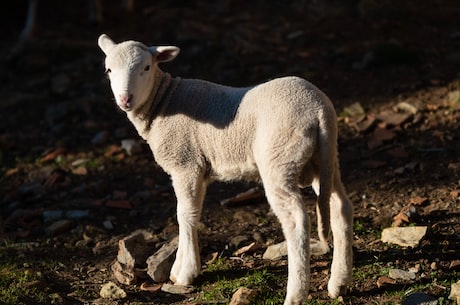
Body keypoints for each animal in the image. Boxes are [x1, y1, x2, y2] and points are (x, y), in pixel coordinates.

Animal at [99, 33, 354, 304]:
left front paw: (185, 273)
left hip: (279, 158)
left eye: (146, 67)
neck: (164, 102)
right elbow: (189, 214)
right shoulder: (199, 168)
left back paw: (295, 294)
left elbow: (185, 214)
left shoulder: (185, 164)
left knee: (296, 220)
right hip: (323, 158)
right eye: (109, 70)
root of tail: (318, 110)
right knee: (340, 207)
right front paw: (181, 267)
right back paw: (339, 282)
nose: (125, 99)